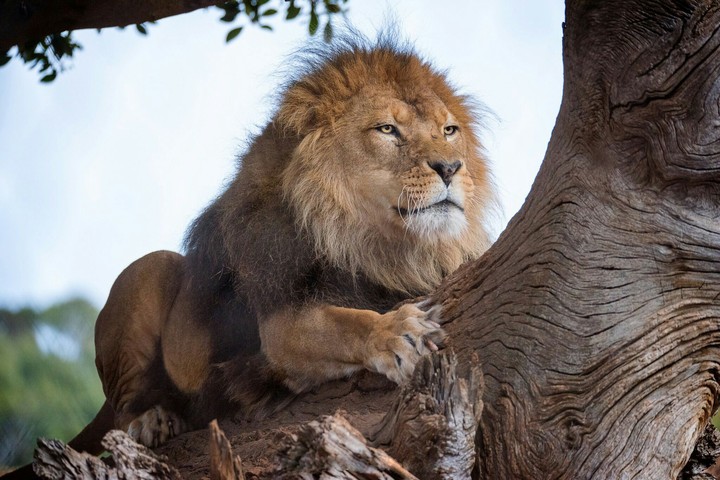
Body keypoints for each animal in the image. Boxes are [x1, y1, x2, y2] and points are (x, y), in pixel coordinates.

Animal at [16, 33, 494, 465]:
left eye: (449, 130)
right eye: (387, 129)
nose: (451, 167)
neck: (378, 244)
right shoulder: (280, 323)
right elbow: (346, 323)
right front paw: (397, 331)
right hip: (149, 269)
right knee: (119, 413)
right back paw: (150, 420)